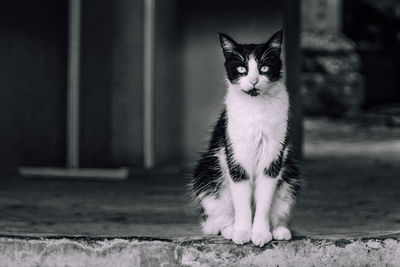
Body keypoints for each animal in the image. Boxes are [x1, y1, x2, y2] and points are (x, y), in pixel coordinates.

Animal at [188, 30, 300, 248]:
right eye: (241, 68)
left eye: (264, 67)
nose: (254, 80)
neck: (255, 106)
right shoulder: (236, 157)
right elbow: (242, 203)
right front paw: (242, 232)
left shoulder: (272, 159)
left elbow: (264, 203)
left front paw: (261, 233)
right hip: (207, 175)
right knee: (217, 220)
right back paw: (229, 229)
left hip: (289, 176)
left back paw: (280, 230)